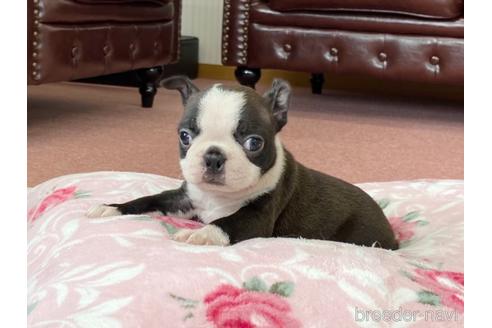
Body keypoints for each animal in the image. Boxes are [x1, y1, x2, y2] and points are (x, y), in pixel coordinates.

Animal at [86, 77, 398, 250]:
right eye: (185, 136)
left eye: (253, 143)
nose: (213, 156)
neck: (217, 197)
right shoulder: (183, 199)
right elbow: (149, 199)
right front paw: (112, 207)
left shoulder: (257, 218)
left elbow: (226, 223)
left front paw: (200, 235)